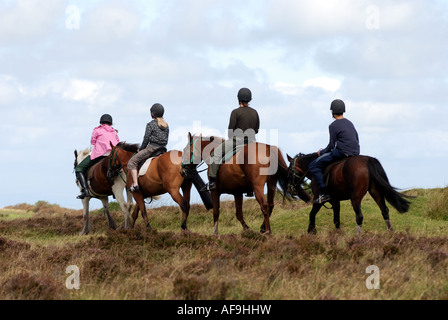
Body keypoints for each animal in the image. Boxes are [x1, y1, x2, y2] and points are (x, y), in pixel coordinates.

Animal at [182, 132, 312, 235]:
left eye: (185, 151)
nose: (182, 171)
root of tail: (267, 148)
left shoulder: (215, 191)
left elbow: (216, 212)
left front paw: (215, 232)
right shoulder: (237, 193)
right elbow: (239, 214)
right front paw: (247, 229)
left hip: (258, 186)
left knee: (264, 205)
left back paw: (267, 231)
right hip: (271, 184)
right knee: (270, 205)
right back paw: (263, 228)